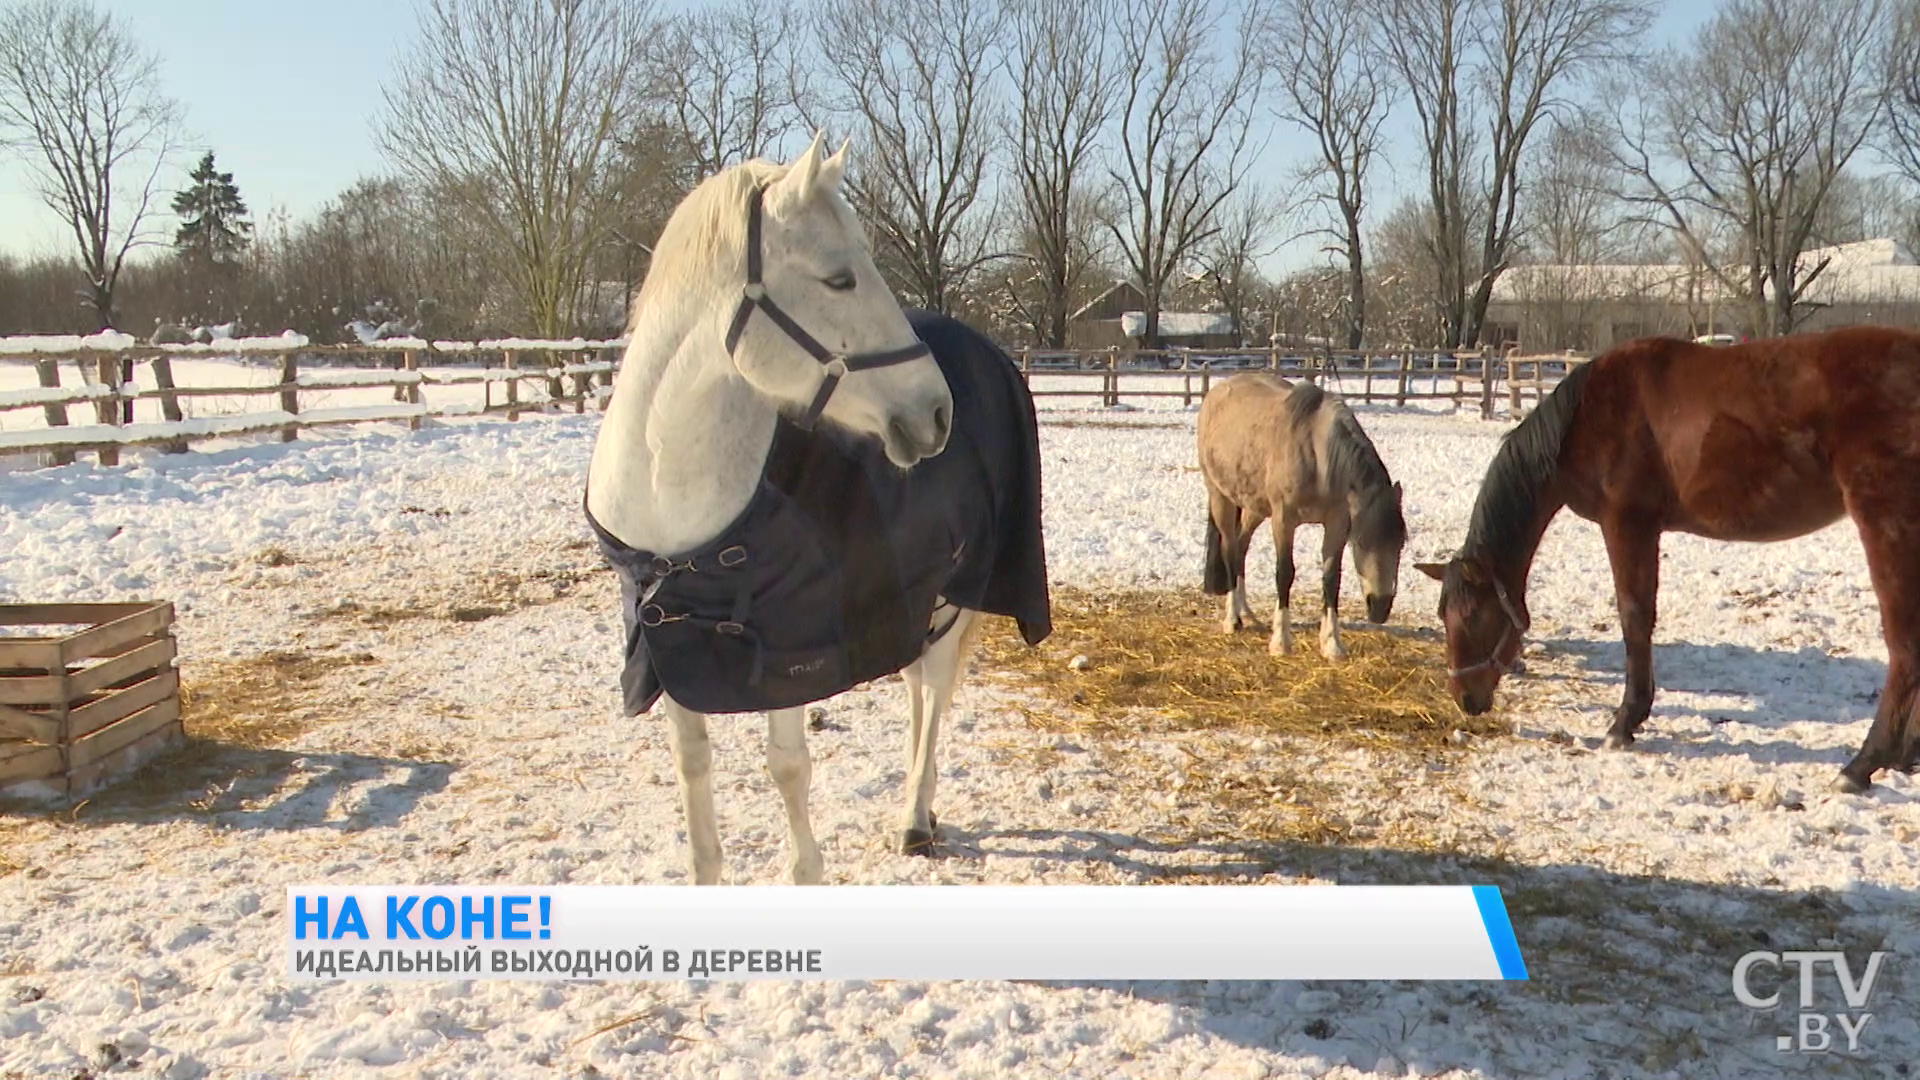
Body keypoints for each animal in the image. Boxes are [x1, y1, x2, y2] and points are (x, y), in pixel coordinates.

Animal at [583, 132, 1052, 883]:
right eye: (839, 279)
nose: (936, 411)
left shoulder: (791, 649)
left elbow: (787, 768)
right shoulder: (669, 647)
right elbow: (694, 768)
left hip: (961, 589)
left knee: (935, 686)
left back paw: (915, 816)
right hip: (918, 595)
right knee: (918, 684)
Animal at [1198, 368, 1413, 657]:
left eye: (1401, 543)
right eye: (1362, 542)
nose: (1380, 608)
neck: (1316, 455)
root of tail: (1217, 391)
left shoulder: (1337, 523)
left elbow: (1331, 578)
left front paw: (1332, 644)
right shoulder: (1284, 520)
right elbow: (1284, 573)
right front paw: (1281, 642)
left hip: (1255, 507)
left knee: (1241, 546)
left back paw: (1247, 612)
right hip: (1220, 496)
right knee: (1230, 550)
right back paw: (1233, 619)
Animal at [1413, 322, 1920, 787]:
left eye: (1474, 616)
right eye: (1443, 615)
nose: (1465, 698)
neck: (1585, 418)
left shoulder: (1627, 524)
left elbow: (1635, 616)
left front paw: (1624, 724)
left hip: (1886, 523)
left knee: (1903, 646)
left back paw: (1862, 765)